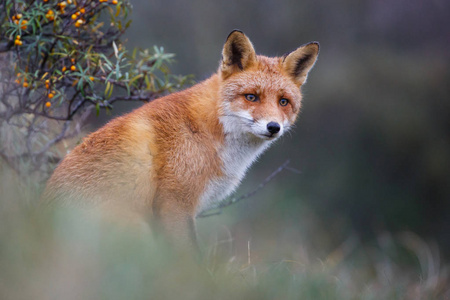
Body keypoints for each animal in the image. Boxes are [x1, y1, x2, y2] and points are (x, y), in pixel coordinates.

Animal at [41, 30, 316, 250]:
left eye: (283, 102)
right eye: (251, 97)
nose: (273, 127)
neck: (207, 131)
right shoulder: (174, 204)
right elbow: (188, 259)